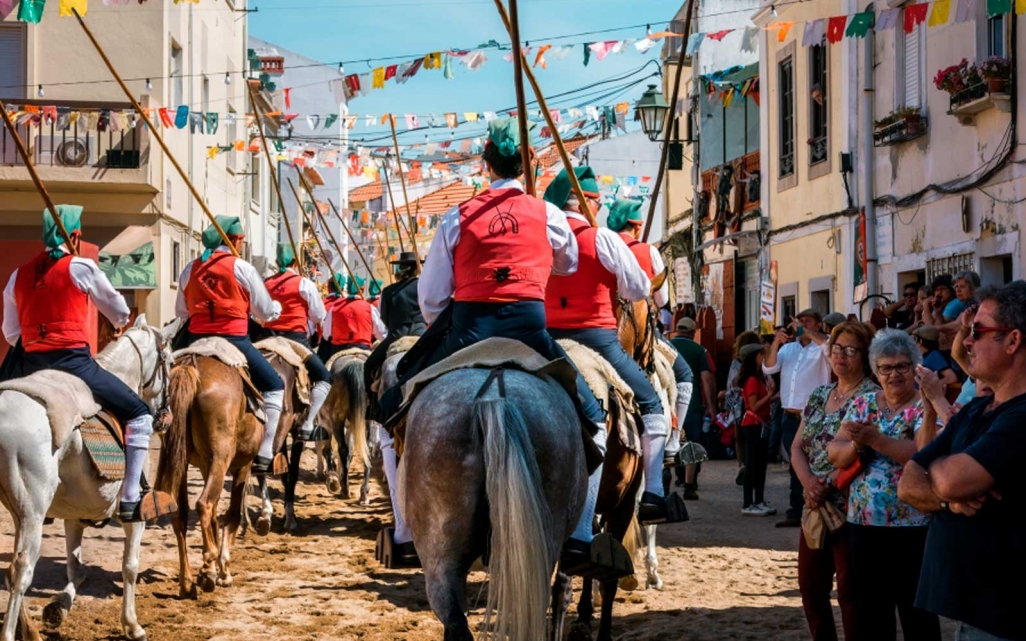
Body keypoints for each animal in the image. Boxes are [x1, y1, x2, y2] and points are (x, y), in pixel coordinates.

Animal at [0, 317, 173, 639]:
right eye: (169, 361)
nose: (164, 418)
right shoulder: (135, 517)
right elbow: (130, 566)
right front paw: (132, 624)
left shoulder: (73, 516)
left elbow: (75, 568)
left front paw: (58, 608)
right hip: (31, 515)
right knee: (21, 571)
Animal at [153, 342, 264, 598]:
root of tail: (191, 365)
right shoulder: (242, 466)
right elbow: (231, 515)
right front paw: (223, 571)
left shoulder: (206, 467)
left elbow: (214, 517)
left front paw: (214, 569)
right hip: (221, 461)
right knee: (203, 504)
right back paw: (207, 566)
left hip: (183, 462)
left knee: (181, 513)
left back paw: (187, 582)